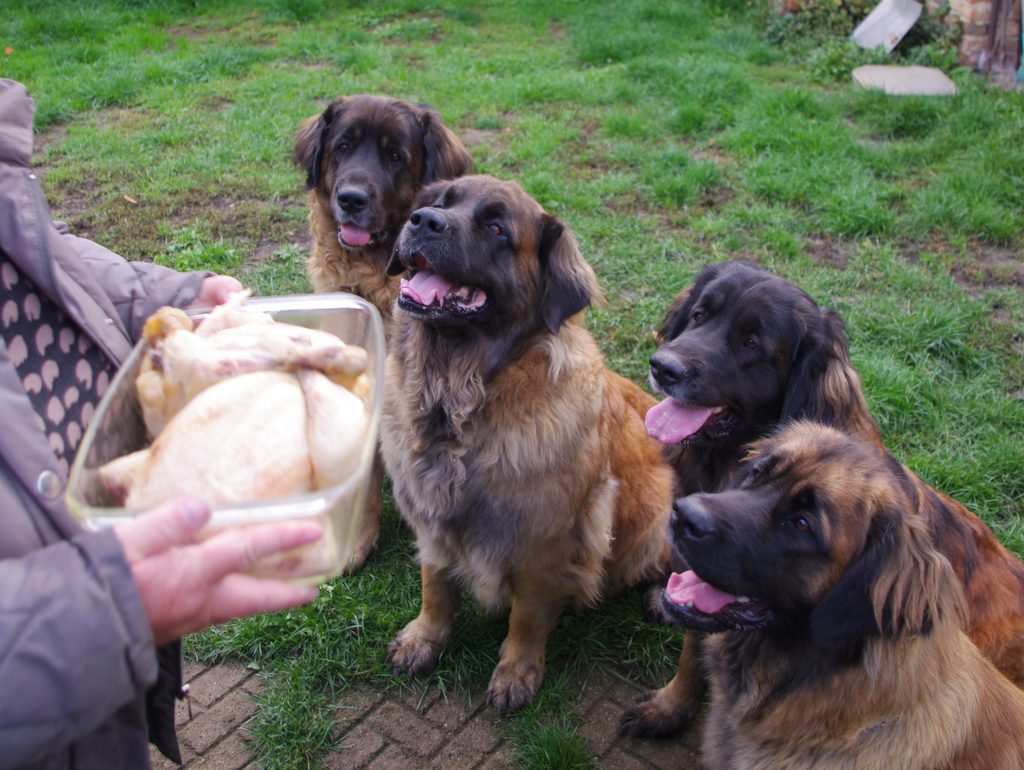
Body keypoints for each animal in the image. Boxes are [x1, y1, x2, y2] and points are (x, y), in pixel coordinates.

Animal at [380, 174, 675, 708]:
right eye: (440, 203)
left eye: (496, 227)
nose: (423, 221)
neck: (462, 399)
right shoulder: (433, 522)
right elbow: (435, 587)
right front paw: (423, 639)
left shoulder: (543, 545)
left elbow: (527, 617)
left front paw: (517, 672)